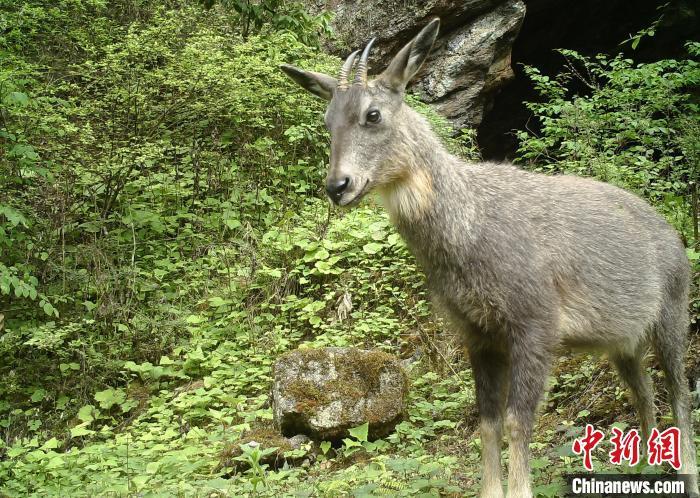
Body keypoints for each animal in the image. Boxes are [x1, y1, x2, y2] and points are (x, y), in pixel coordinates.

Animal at [282, 18, 696, 498]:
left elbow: (518, 422)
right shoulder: (477, 333)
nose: (338, 185)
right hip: (623, 342)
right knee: (645, 396)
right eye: (327, 120)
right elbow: (487, 423)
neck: (469, 228)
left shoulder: (536, 325)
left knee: (679, 394)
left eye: (373, 114)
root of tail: (673, 236)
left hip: (672, 315)